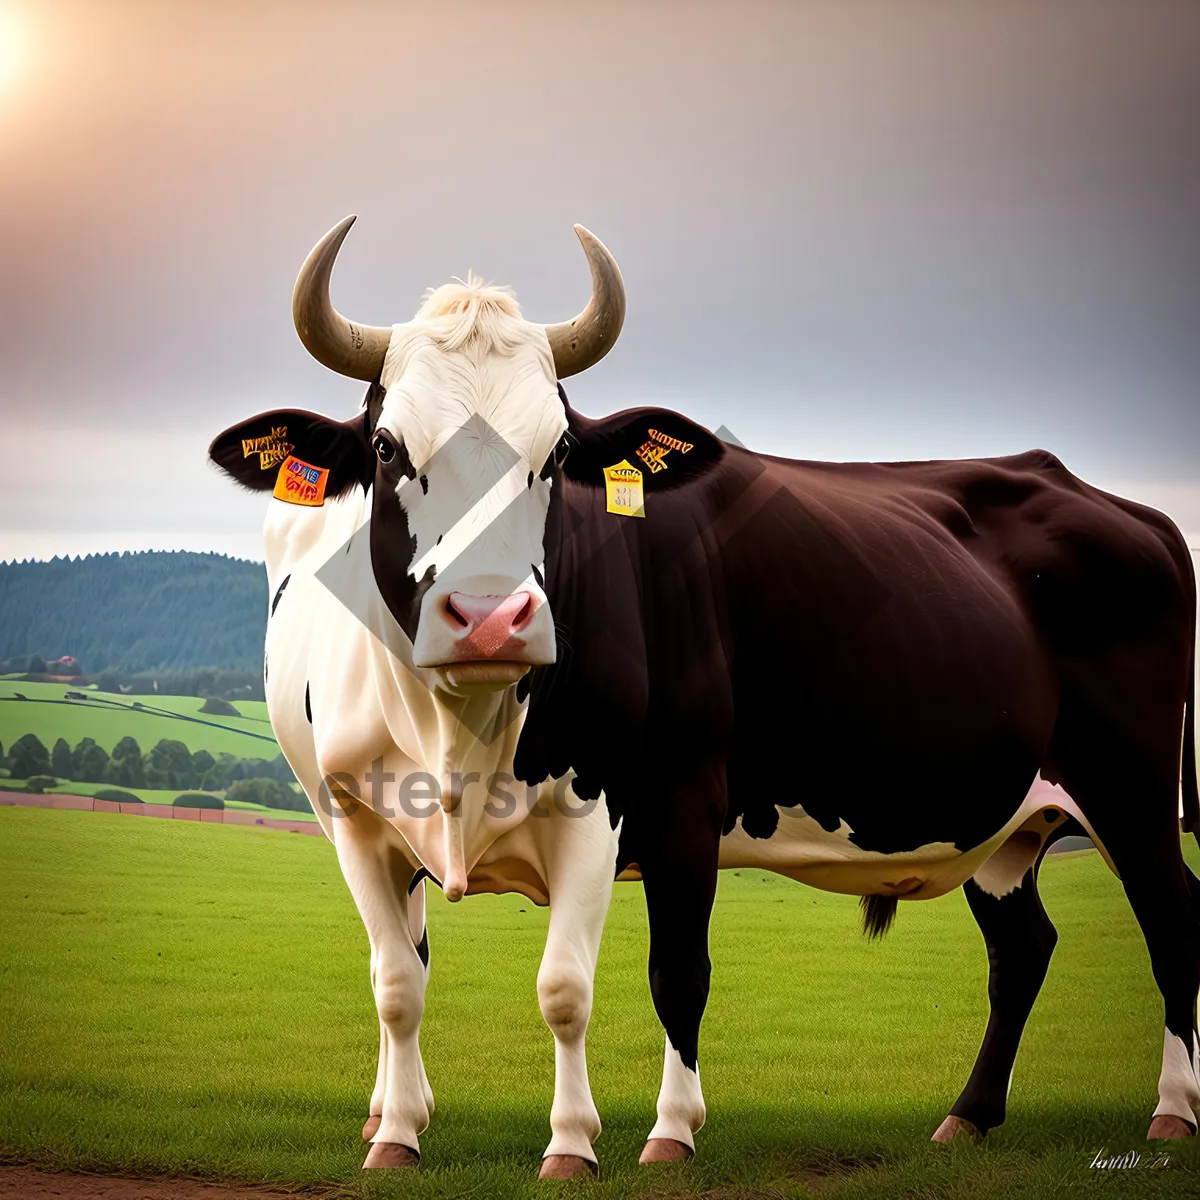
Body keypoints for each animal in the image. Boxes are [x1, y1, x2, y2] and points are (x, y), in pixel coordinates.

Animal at [207, 218, 633, 1180]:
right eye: (387, 447)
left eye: (557, 452)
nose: (488, 619)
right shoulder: (359, 828)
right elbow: (397, 984)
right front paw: (398, 1135)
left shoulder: (596, 815)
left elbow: (565, 988)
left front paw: (571, 1143)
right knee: (401, 952)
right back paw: (386, 1109)